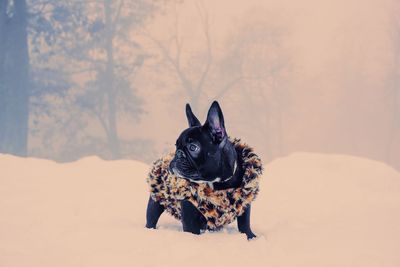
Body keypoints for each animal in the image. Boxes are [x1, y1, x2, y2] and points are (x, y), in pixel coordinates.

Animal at [145, 101, 260, 241]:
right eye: (176, 146)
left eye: (193, 147)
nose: (177, 154)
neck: (216, 182)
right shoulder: (189, 209)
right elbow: (191, 230)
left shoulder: (244, 201)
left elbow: (244, 223)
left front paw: (250, 237)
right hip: (155, 201)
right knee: (151, 218)